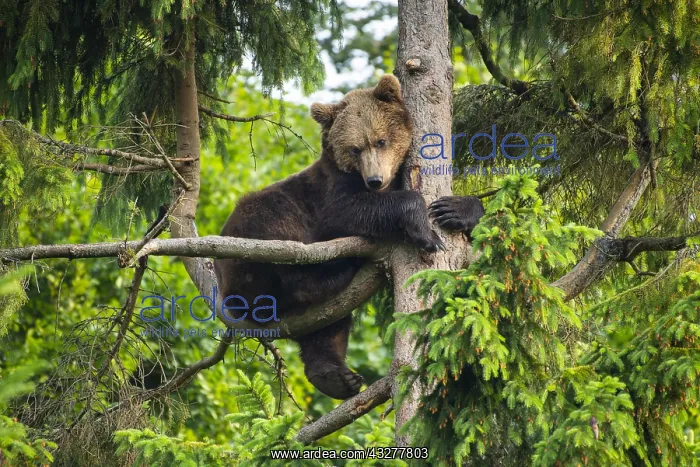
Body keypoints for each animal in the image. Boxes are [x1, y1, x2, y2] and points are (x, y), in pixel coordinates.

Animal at [214, 75, 484, 400]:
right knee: (282, 243)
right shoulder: (329, 194)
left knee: (326, 326)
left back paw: (336, 377)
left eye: (380, 140)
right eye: (355, 148)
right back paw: (337, 271)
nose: (375, 180)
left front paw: (455, 209)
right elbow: (345, 212)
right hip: (248, 242)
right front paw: (425, 232)